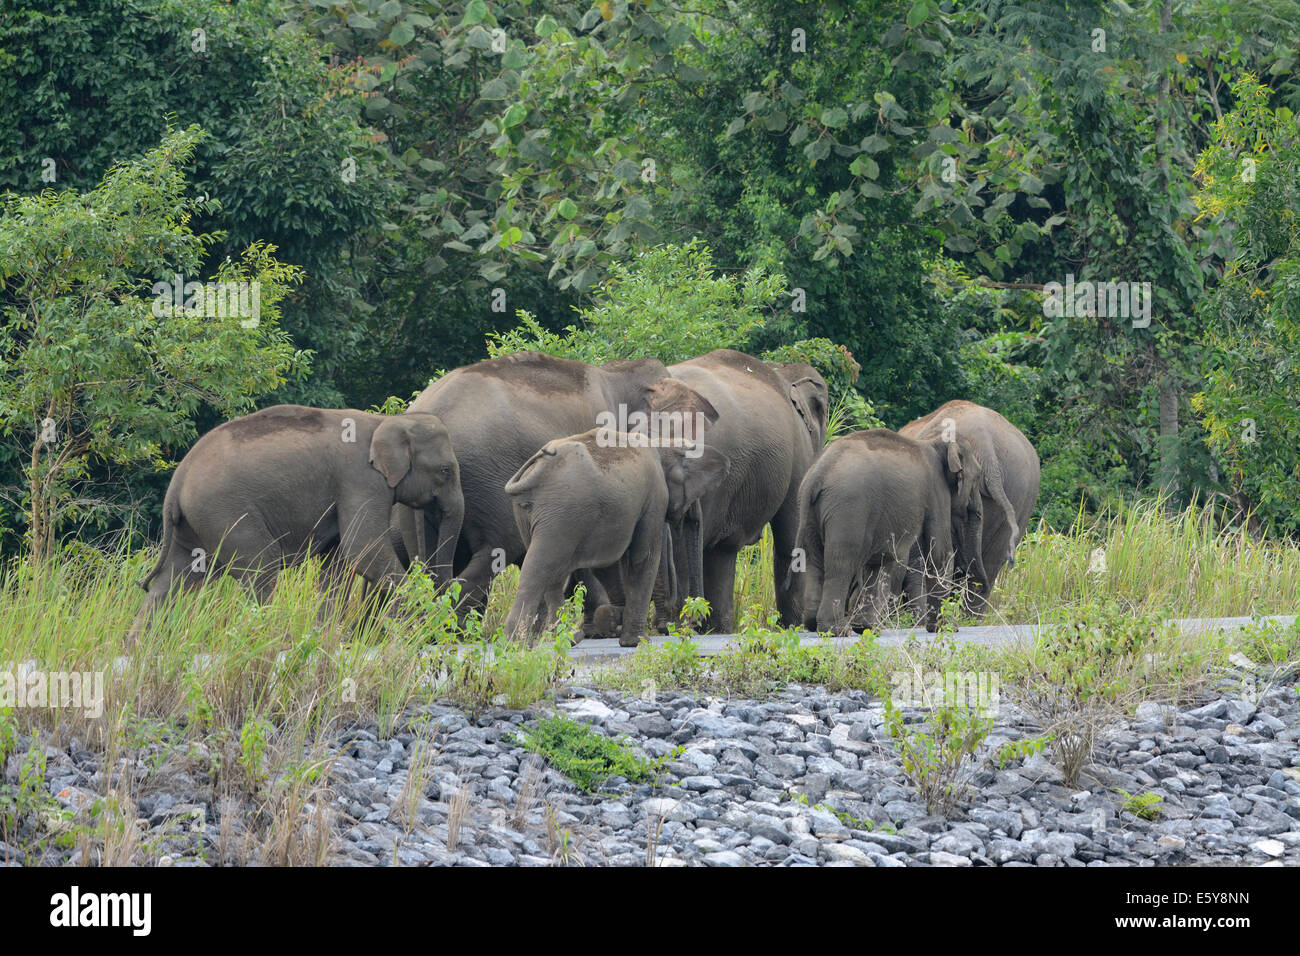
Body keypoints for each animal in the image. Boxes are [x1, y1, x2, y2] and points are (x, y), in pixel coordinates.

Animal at [135, 405, 462, 624]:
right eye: (446, 471)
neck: (389, 422)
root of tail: (177, 482)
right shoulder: (360, 480)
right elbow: (363, 548)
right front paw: (413, 620)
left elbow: (337, 563)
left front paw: (325, 633)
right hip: (224, 512)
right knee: (261, 568)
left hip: (194, 522)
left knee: (171, 580)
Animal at [502, 429, 730, 646]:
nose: (693, 626)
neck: (661, 442)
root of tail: (538, 470)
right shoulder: (655, 495)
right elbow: (643, 557)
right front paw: (637, 641)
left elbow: (604, 566)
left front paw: (613, 621)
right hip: (561, 512)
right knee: (541, 570)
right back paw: (518, 644)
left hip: (529, 513)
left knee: (552, 575)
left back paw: (563, 639)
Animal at [659, 350, 828, 632]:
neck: (782, 371)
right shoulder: (798, 451)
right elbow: (792, 539)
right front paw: (796, 626)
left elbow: (722, 551)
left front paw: (717, 629)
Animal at [793, 428, 986, 634]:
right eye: (977, 477)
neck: (935, 441)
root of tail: (817, 475)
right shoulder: (936, 490)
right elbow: (940, 554)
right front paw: (947, 628)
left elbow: (879, 561)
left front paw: (866, 628)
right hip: (848, 510)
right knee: (841, 563)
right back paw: (836, 630)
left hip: (811, 512)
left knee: (815, 561)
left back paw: (813, 624)